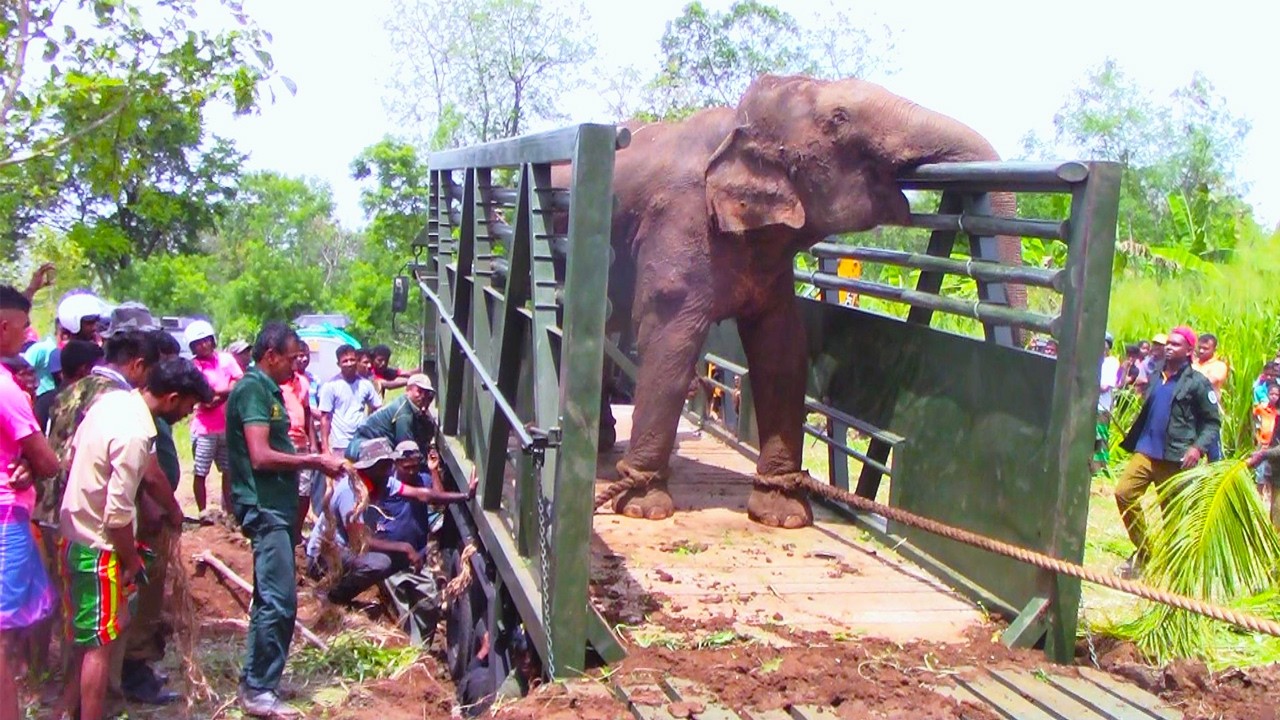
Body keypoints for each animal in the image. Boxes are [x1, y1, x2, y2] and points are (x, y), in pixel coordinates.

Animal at [577, 74, 1022, 528]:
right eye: (839, 119)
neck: (734, 127)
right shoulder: (677, 222)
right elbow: (669, 338)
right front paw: (644, 507)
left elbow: (781, 347)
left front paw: (783, 515)